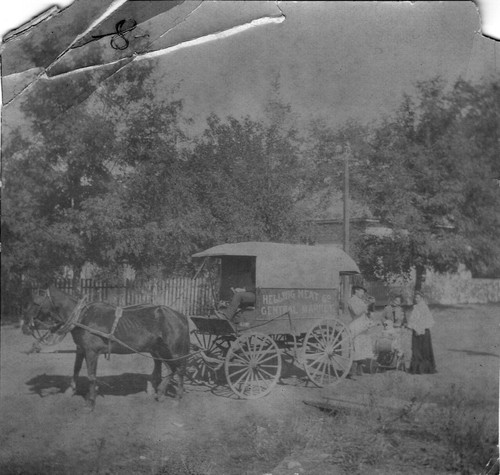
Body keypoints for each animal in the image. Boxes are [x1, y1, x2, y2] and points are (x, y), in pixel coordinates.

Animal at [21, 284, 190, 410]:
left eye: (35, 302)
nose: (24, 326)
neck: (82, 317)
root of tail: (180, 316)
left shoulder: (91, 352)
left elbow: (91, 376)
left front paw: (90, 403)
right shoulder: (81, 349)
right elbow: (76, 369)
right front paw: (71, 390)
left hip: (174, 351)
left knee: (179, 370)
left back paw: (177, 398)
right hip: (158, 350)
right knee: (169, 369)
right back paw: (160, 394)